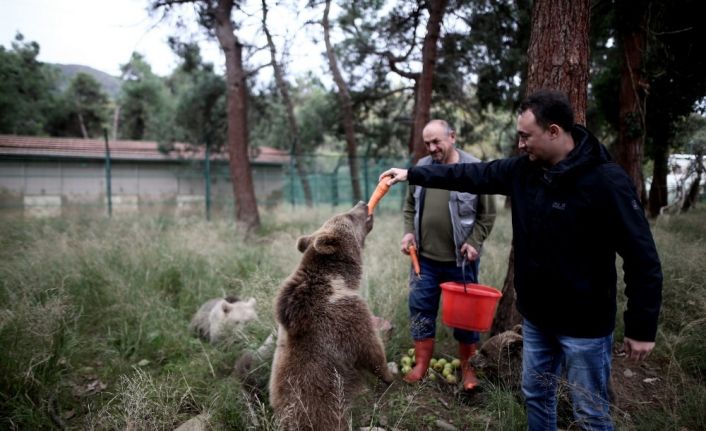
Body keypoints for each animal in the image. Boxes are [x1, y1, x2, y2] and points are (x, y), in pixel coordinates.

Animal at [266, 203, 394, 431]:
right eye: (349, 216)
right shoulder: (346, 318)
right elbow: (371, 349)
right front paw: (390, 374)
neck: (337, 280)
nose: (362, 204)